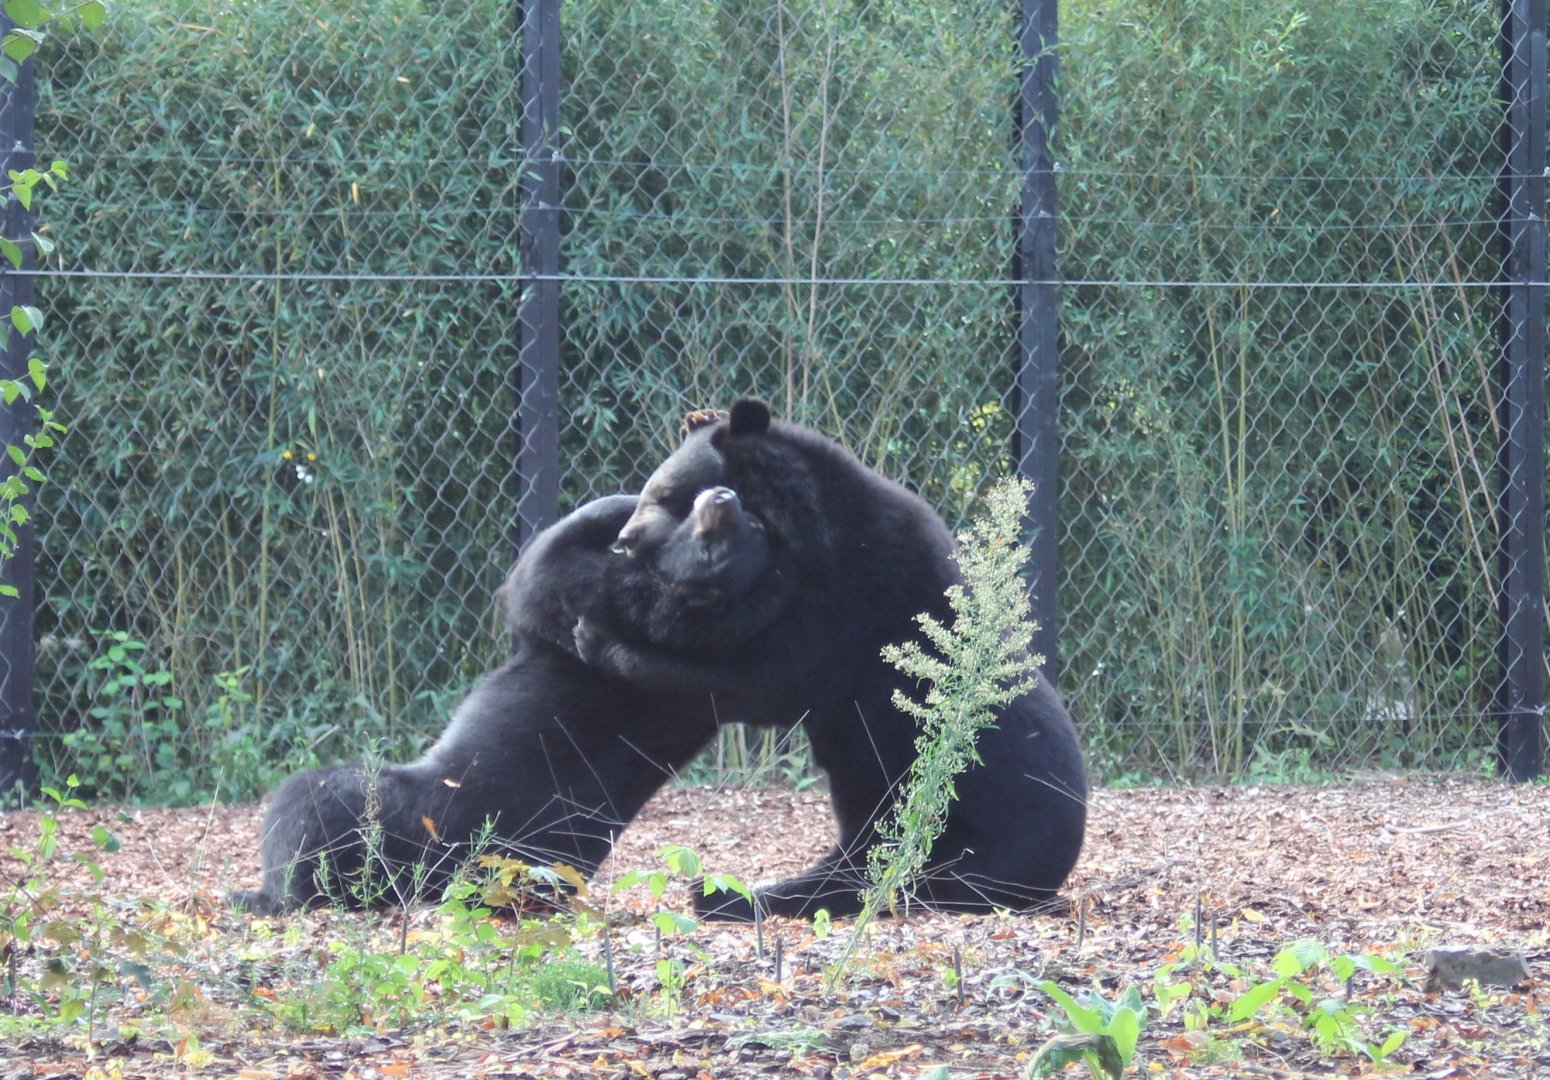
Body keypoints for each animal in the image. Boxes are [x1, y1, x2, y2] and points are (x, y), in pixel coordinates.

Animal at [230, 487, 779, 915]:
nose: (727, 496)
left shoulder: (608, 607)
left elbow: (542, 574)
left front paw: (628, 508)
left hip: (383, 811)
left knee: (305, 804)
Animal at [582, 397, 1089, 921]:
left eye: (664, 492)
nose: (626, 536)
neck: (801, 535)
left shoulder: (847, 605)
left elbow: (761, 680)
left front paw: (602, 639)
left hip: (966, 826)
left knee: (891, 874)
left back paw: (730, 895)